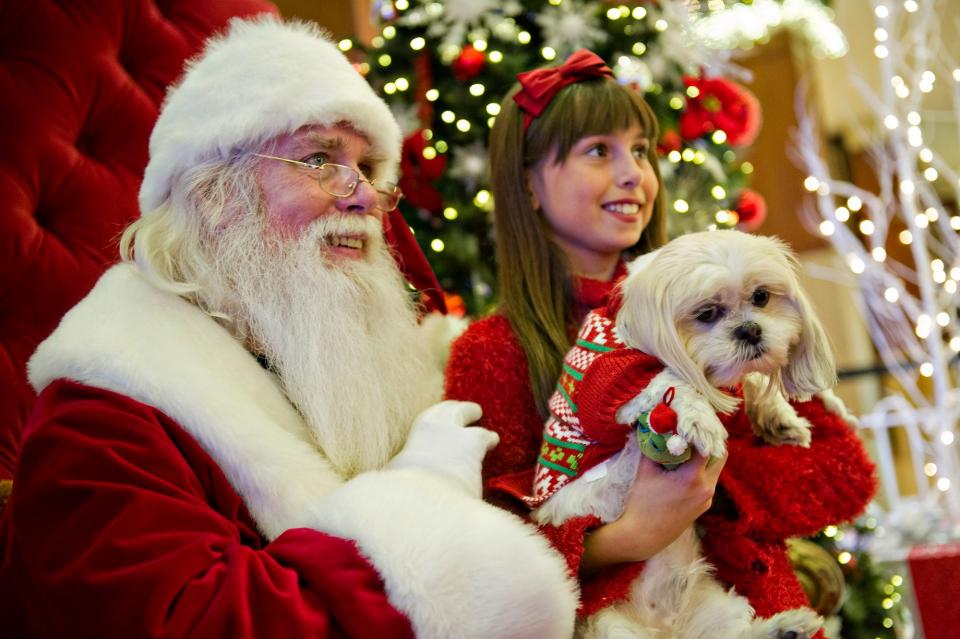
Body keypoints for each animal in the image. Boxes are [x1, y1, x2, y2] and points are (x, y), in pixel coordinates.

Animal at [528, 231, 844, 639]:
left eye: (761, 296)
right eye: (706, 313)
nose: (750, 330)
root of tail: (668, 629)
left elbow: (749, 381)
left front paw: (780, 415)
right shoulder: (606, 381)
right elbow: (665, 380)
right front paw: (699, 418)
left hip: (719, 610)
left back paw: (784, 629)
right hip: (608, 613)